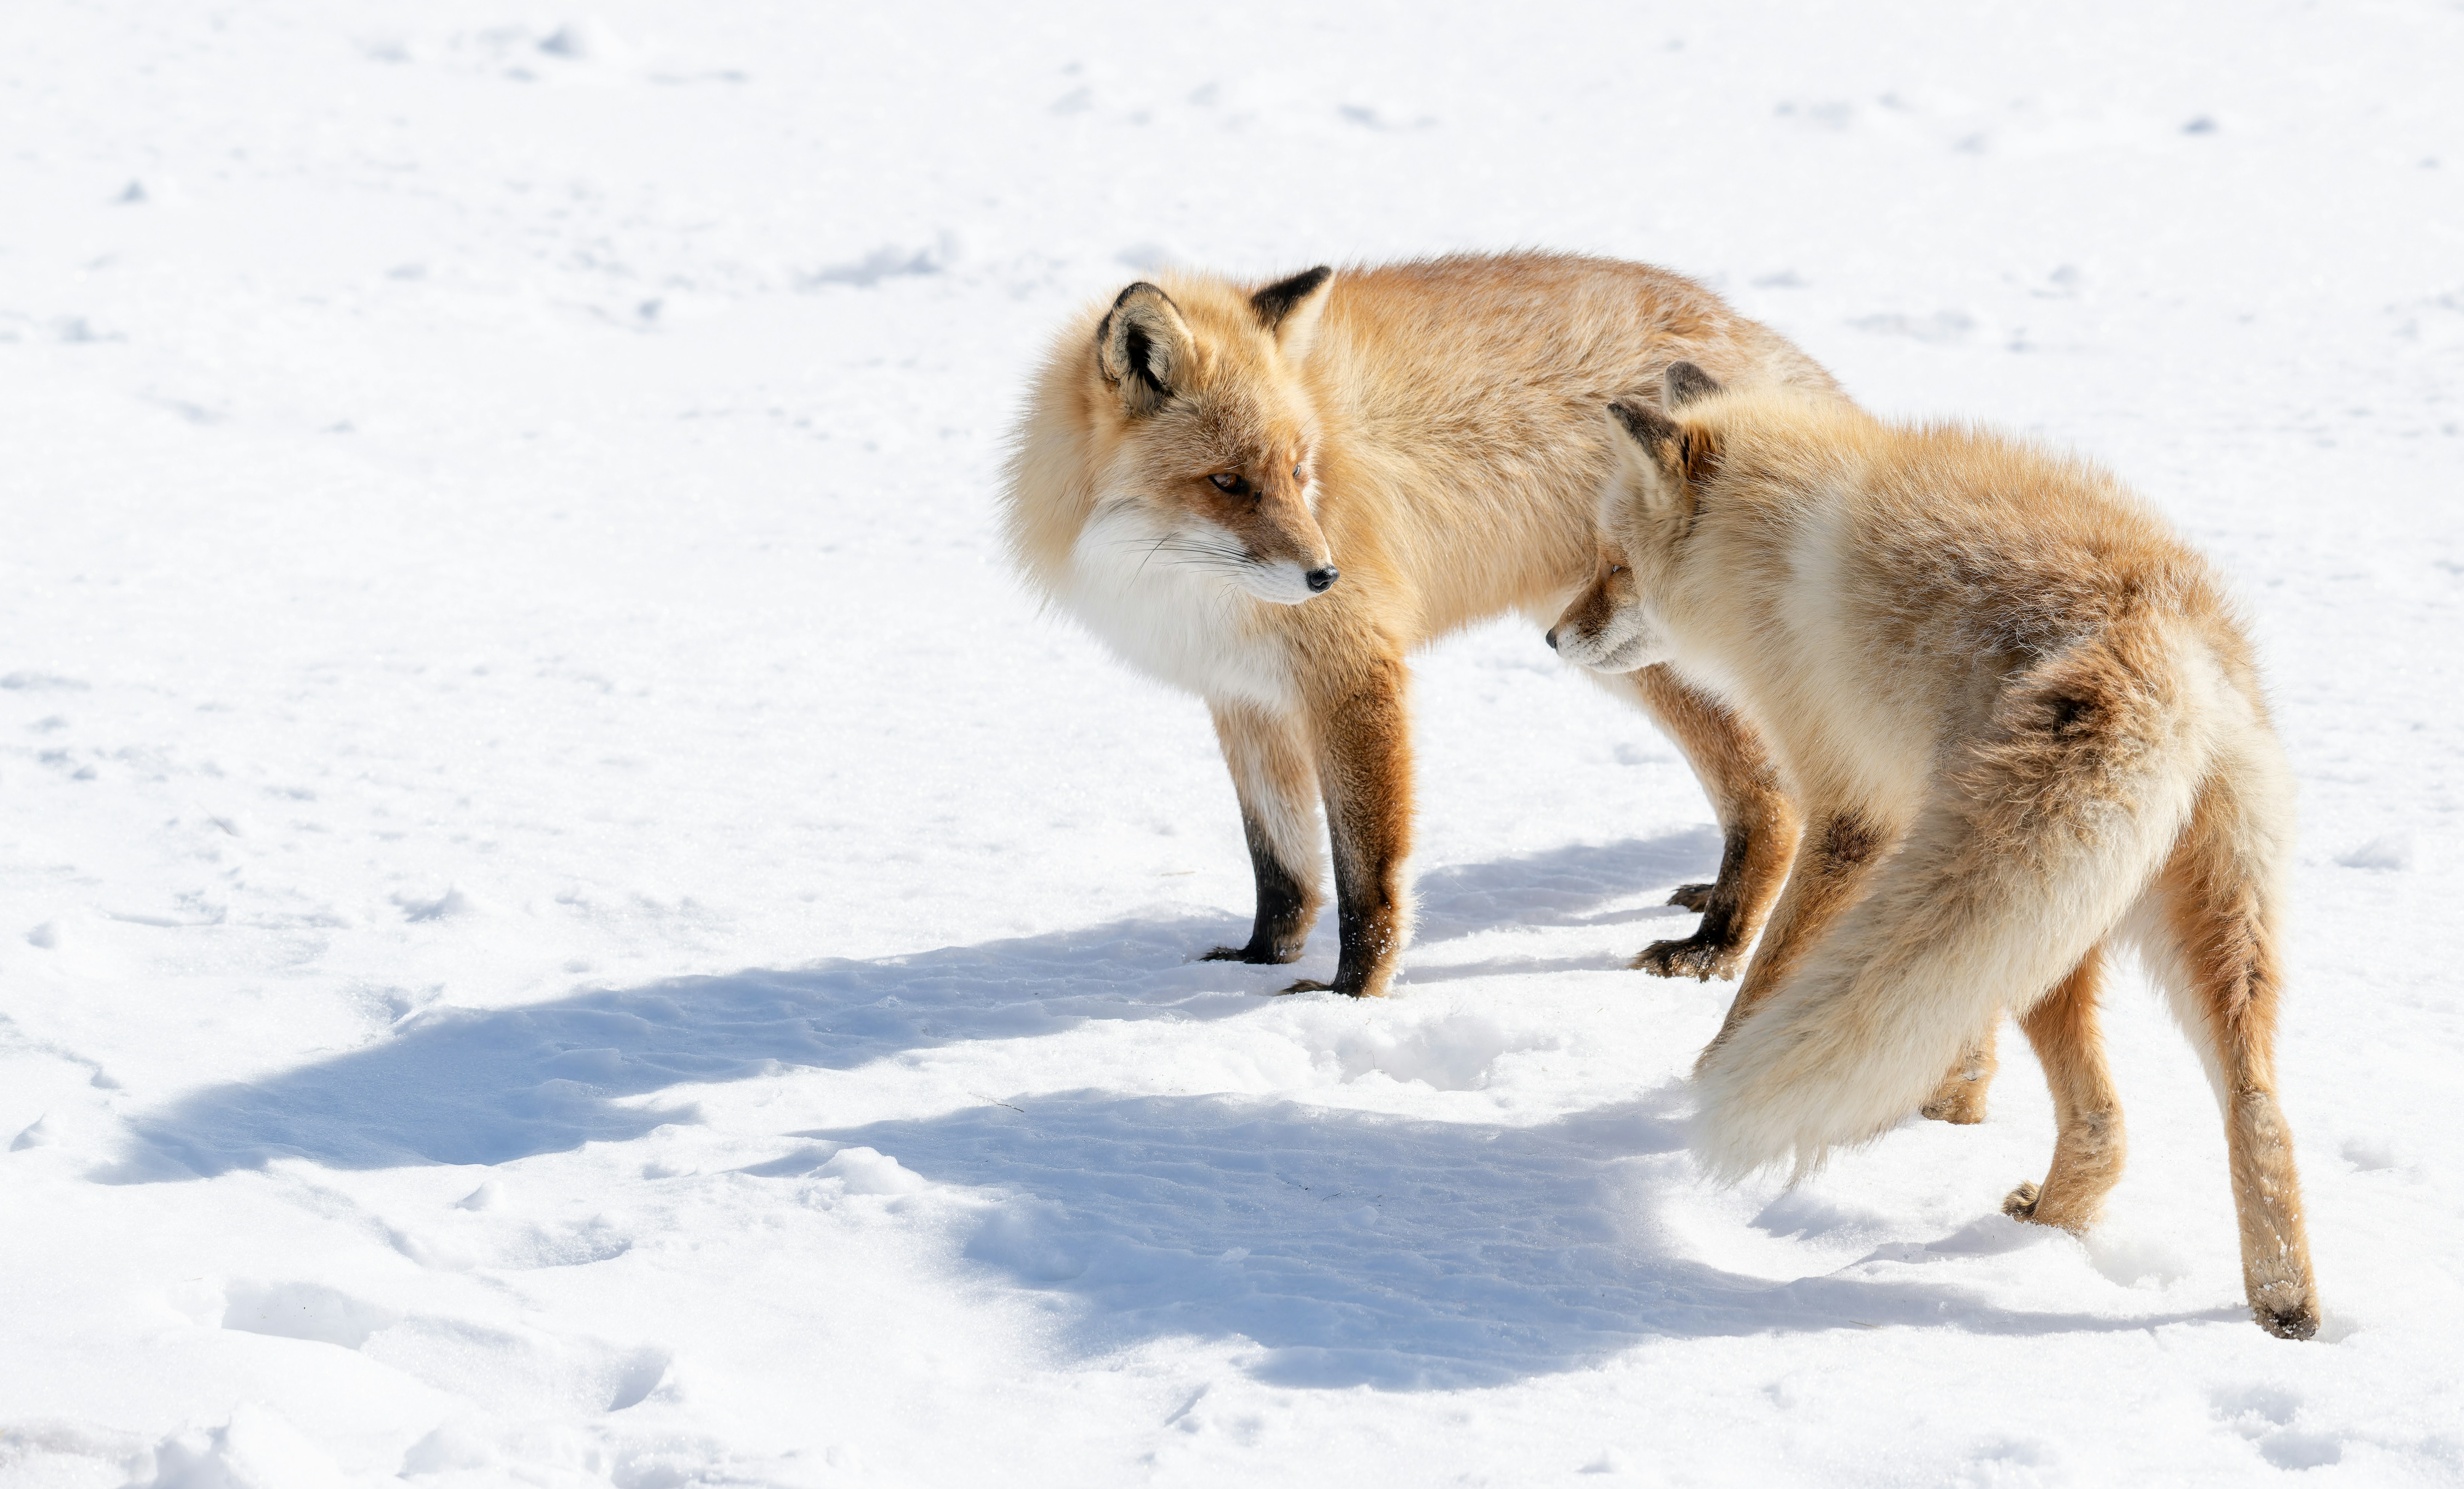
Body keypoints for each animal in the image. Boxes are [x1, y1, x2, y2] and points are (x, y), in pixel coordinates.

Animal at [1001, 253, 1847, 997]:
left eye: (1299, 470)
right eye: (1228, 482)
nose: (1325, 577)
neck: (1188, 589)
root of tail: (1749, 330)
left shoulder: (1352, 672)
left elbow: (1366, 875)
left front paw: (1349, 994)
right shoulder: (1241, 696)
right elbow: (1279, 862)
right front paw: (1257, 960)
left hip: (1647, 654)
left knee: (1770, 795)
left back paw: (1716, 946)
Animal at [1548, 365, 2319, 1338]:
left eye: (1615, 563)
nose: (1551, 637)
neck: (1771, 534)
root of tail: (2152, 631)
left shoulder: (1855, 813)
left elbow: (1765, 980)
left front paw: (1702, 1077)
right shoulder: (1923, 823)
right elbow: (1960, 1030)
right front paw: (1951, 1111)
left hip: (2046, 924)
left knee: (2104, 1116)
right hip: (2173, 924)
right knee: (2241, 1110)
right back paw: (2272, 1299)